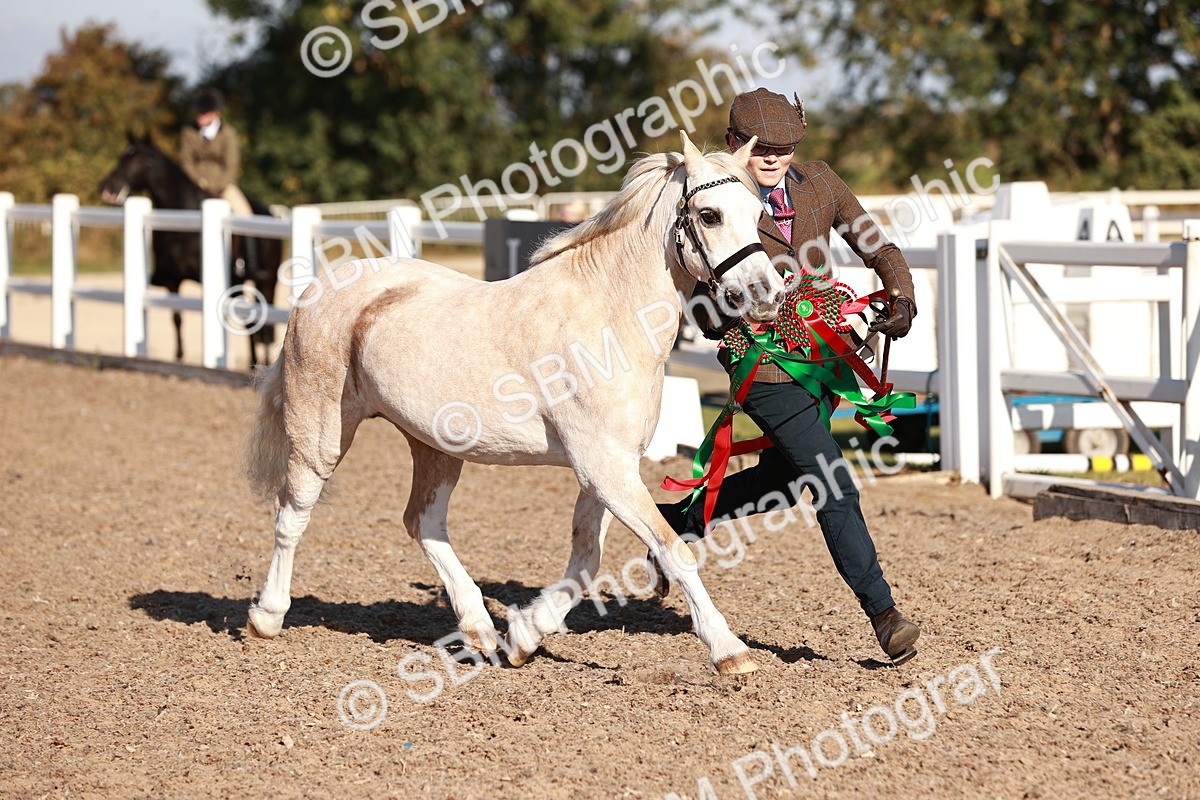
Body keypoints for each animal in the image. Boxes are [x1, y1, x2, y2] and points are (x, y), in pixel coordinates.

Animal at [98, 133, 282, 366]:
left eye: (143, 160)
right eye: (122, 157)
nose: (108, 188)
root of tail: (271, 213)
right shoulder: (172, 280)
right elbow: (177, 317)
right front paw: (179, 356)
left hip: (266, 280)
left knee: (263, 319)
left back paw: (263, 361)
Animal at [241, 132, 786, 674]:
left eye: (758, 213)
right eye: (710, 215)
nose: (766, 294)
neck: (609, 318)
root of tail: (321, 287)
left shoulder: (608, 468)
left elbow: (586, 561)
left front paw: (523, 636)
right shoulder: (604, 467)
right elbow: (673, 551)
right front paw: (729, 650)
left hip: (434, 447)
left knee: (424, 523)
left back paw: (480, 630)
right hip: (320, 437)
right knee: (292, 515)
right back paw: (266, 617)